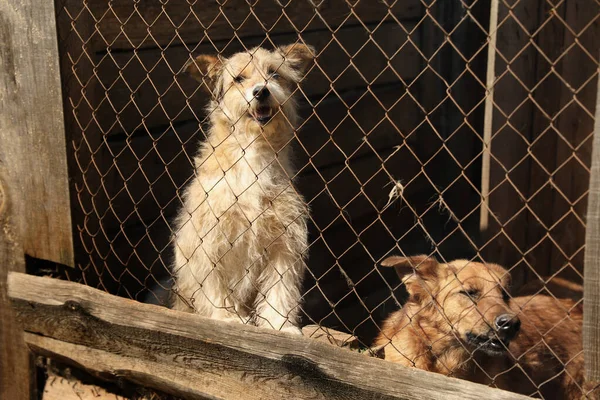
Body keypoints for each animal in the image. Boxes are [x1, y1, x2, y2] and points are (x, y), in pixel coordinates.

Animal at [170, 43, 314, 334]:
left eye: (274, 73)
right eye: (239, 79)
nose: (261, 91)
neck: (252, 152)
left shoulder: (284, 242)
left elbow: (280, 290)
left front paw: (280, 325)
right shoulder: (209, 238)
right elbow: (215, 285)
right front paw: (227, 318)